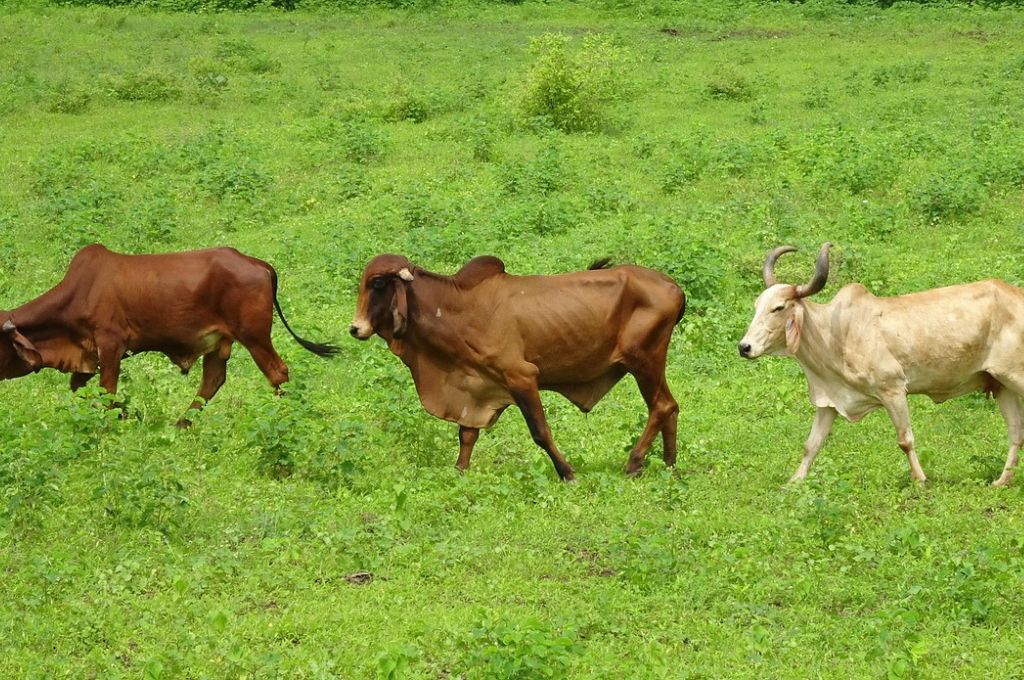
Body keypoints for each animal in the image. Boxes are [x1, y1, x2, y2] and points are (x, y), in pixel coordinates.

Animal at [0, 244, 339, 426]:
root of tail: (257, 263)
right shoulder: (87, 357)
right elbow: (80, 391)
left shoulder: (110, 345)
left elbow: (107, 392)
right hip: (220, 342)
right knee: (212, 381)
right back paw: (181, 424)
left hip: (254, 337)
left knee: (277, 373)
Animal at [348, 251, 684, 481]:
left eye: (377, 283)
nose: (355, 328)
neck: (455, 309)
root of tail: (674, 287)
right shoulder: (476, 385)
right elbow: (467, 435)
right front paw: (460, 471)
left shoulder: (521, 377)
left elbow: (540, 432)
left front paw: (567, 473)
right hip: (650, 362)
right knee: (670, 406)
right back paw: (669, 465)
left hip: (644, 359)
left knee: (661, 406)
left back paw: (635, 463)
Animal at [741, 244, 1024, 489]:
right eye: (756, 306)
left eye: (778, 308)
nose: (744, 347)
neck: (833, 333)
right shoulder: (829, 402)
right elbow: (812, 444)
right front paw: (794, 481)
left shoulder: (893, 389)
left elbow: (905, 440)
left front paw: (920, 480)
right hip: (1001, 385)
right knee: (1016, 433)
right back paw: (1002, 481)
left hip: (1015, 376)